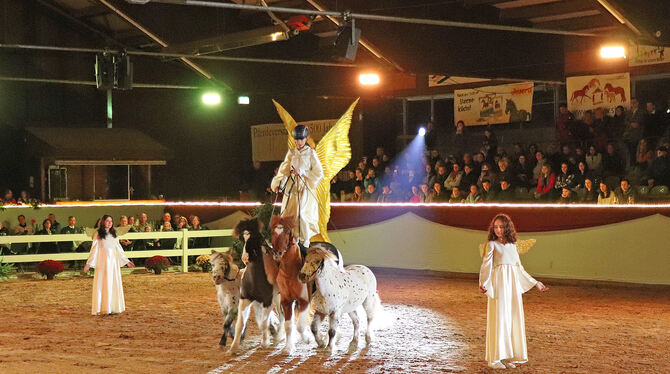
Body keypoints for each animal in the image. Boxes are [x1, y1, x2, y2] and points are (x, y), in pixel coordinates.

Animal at [270, 216, 316, 354]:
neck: (290, 273)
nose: (277, 253)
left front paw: (307, 339)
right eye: (273, 232)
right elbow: (289, 325)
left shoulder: (305, 301)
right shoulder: (286, 302)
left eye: (286, 232)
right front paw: (288, 347)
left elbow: (300, 325)